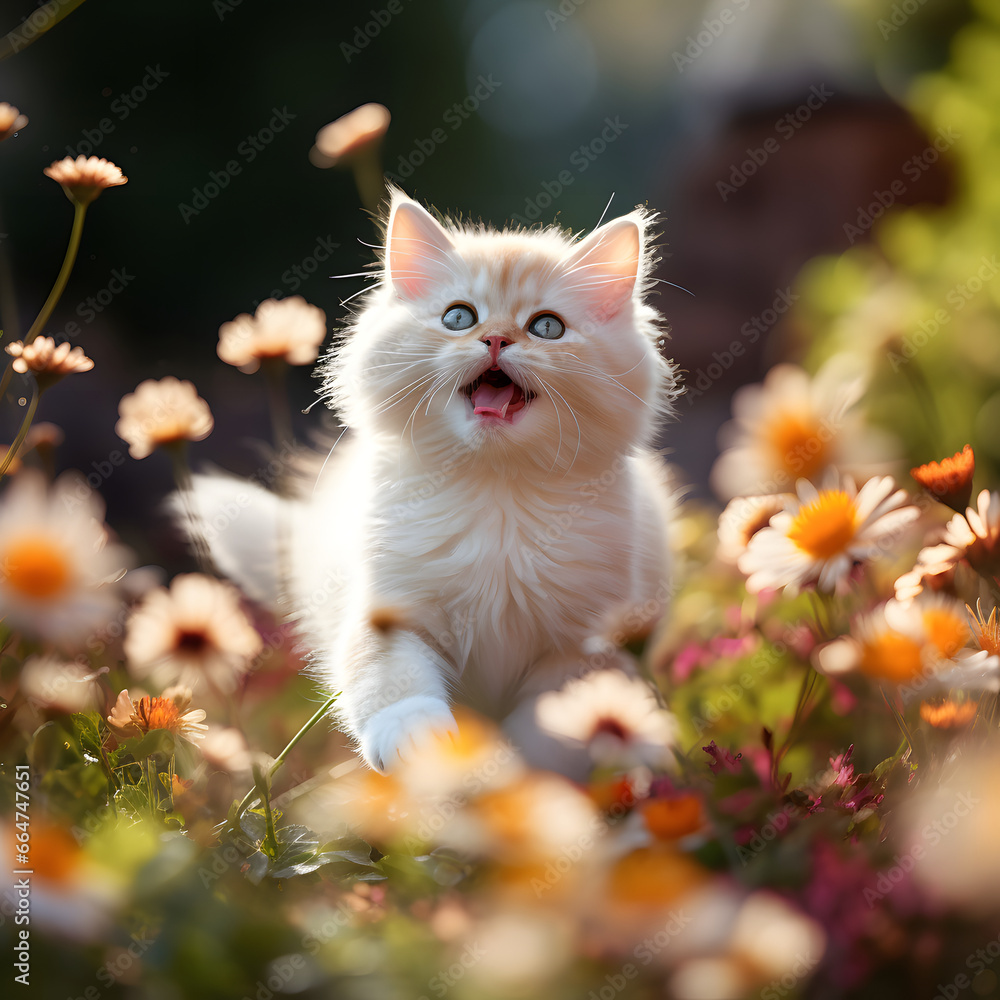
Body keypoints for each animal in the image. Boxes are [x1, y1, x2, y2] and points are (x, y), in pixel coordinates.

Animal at [188, 189, 680, 772]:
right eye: (459, 317)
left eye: (547, 327)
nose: (495, 339)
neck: (496, 492)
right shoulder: (388, 614)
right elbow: (395, 686)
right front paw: (422, 747)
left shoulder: (585, 650)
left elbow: (545, 734)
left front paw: (507, 774)